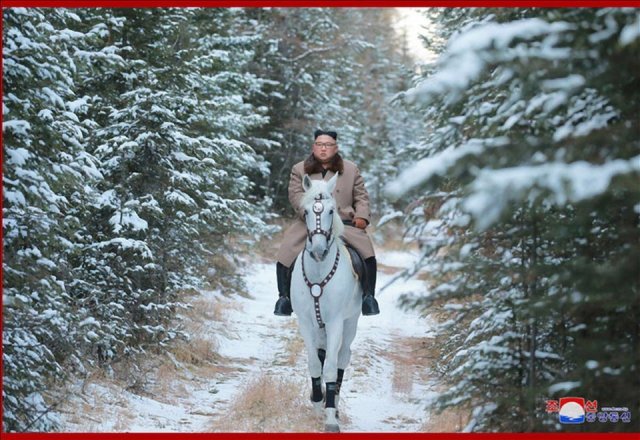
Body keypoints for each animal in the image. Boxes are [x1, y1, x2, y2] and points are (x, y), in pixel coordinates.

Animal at [288, 173, 360, 434]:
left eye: (331, 210)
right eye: (306, 211)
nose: (319, 250)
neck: (319, 272)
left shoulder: (336, 322)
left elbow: (329, 366)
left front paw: (330, 417)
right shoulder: (306, 322)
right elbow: (314, 364)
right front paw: (317, 404)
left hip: (350, 323)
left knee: (341, 358)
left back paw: (335, 403)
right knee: (321, 354)